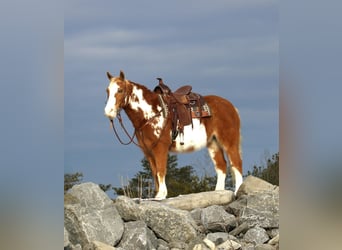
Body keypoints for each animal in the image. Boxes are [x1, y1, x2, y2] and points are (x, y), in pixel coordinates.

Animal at [104, 70, 243, 199]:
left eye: (120, 90)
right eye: (107, 91)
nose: (108, 111)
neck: (151, 113)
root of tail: (231, 106)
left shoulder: (160, 148)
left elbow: (160, 170)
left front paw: (161, 195)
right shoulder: (148, 151)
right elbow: (154, 172)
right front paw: (157, 195)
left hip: (229, 142)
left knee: (236, 163)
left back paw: (237, 192)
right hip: (213, 143)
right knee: (221, 166)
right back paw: (218, 193)